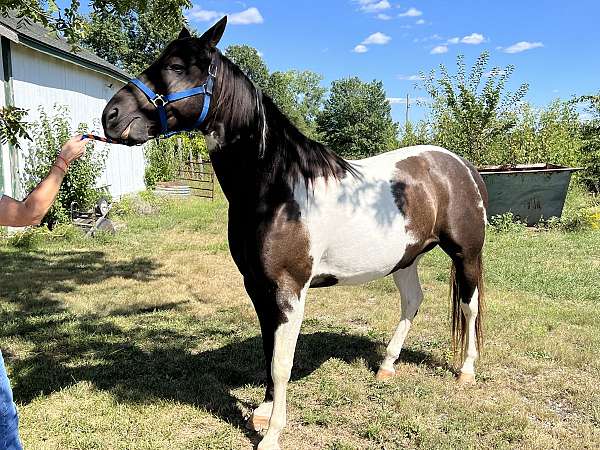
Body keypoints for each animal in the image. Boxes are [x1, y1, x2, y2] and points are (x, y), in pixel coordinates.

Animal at [102, 17, 488, 450]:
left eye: (178, 67)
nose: (111, 115)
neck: (277, 189)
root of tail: (461, 166)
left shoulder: (289, 290)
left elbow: (282, 363)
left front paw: (271, 434)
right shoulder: (257, 287)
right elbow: (268, 349)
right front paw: (264, 411)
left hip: (466, 255)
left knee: (470, 308)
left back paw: (466, 372)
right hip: (405, 258)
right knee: (412, 302)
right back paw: (387, 366)